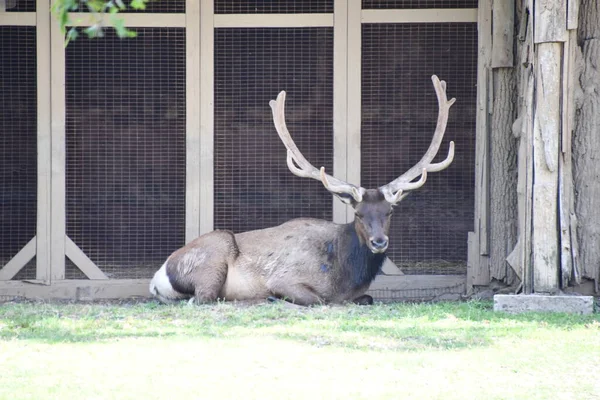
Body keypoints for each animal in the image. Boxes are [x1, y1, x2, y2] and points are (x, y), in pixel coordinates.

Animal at [150, 76, 454, 306]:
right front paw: (276, 297)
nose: (379, 242)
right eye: (358, 213)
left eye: (390, 211)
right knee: (203, 298)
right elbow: (320, 300)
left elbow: (367, 298)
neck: (345, 276)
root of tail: (157, 278)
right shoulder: (286, 278)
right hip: (214, 255)